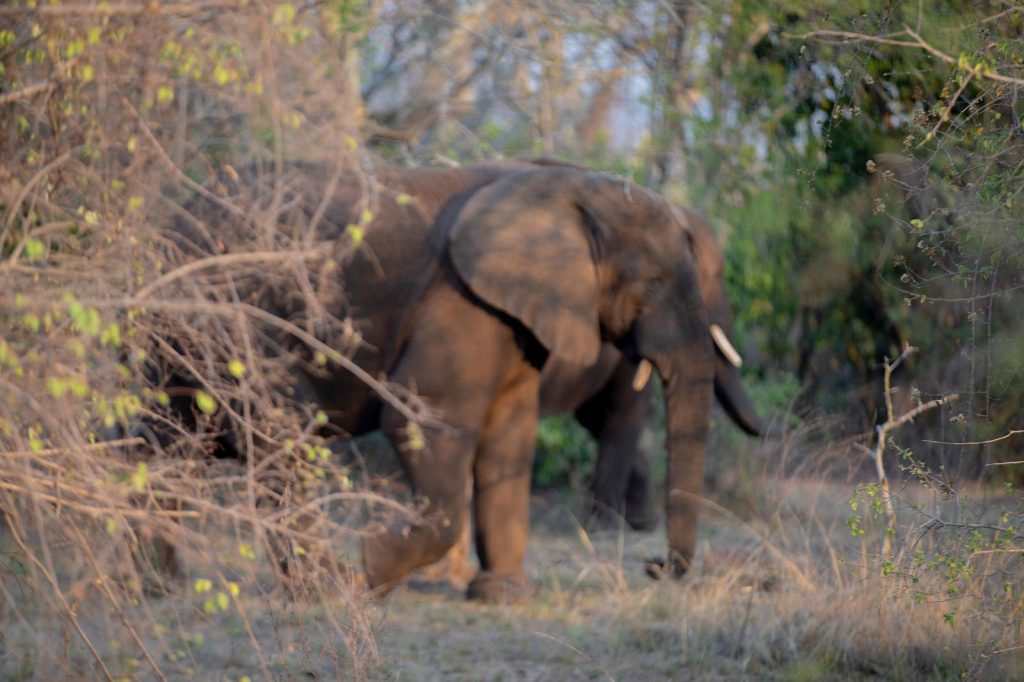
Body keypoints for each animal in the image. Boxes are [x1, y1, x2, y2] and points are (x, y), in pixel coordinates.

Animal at [167, 159, 735, 602]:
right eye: (656, 282)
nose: (653, 565)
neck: (571, 191)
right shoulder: (459, 301)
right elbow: (420, 419)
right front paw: (372, 563)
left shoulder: (514, 317)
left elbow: (511, 435)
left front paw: (504, 598)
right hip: (224, 320)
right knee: (275, 427)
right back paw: (325, 589)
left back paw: (156, 586)